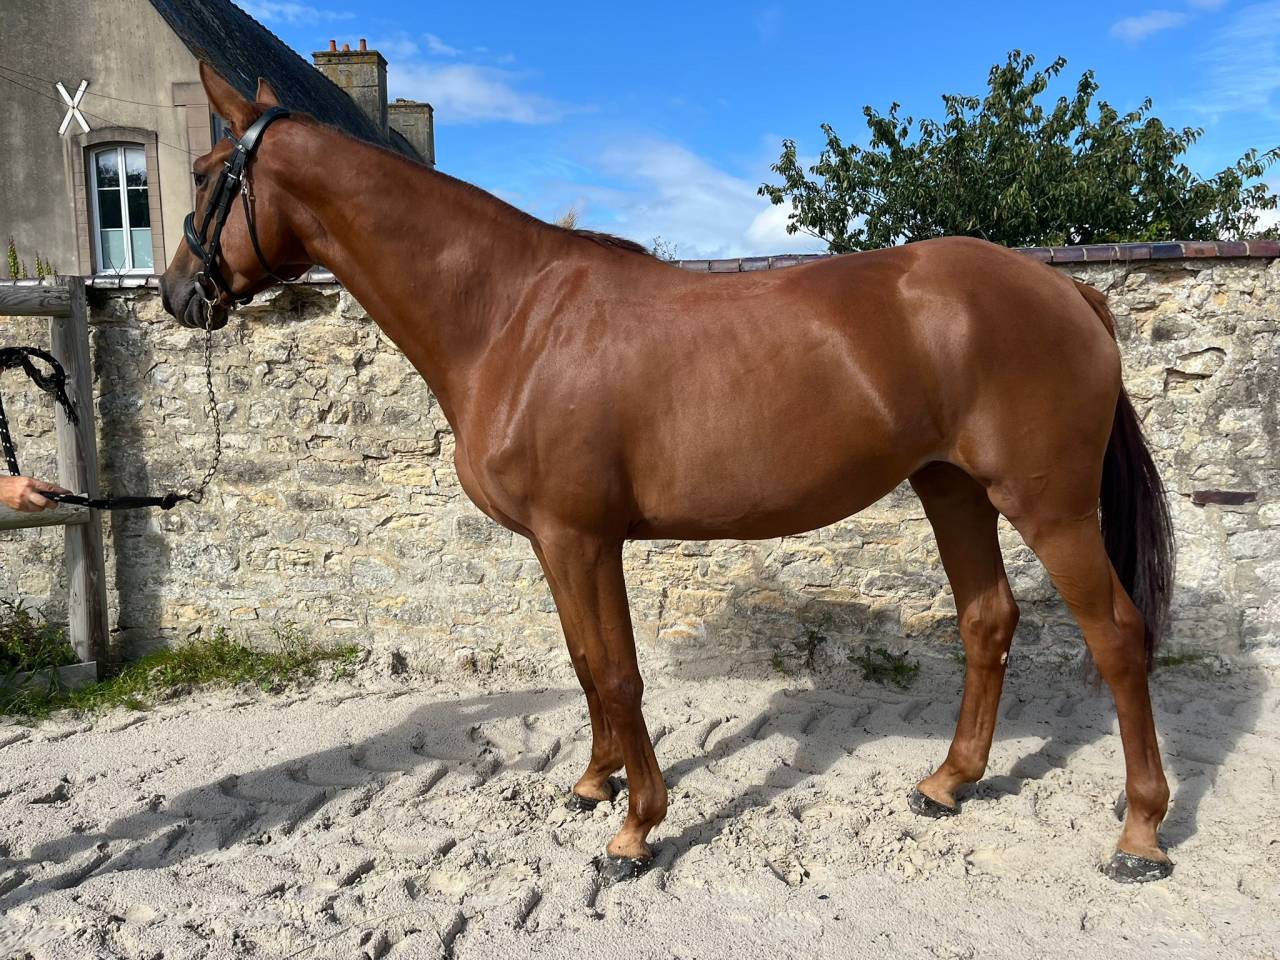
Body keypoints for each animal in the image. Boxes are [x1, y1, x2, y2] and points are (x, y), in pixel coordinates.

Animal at [160, 63, 1176, 885]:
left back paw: (1138, 834)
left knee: (1119, 637)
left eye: (209, 176)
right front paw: (592, 783)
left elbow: (618, 673)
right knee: (987, 620)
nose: (176, 293)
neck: (512, 318)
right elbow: (583, 664)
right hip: (952, 488)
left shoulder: (581, 537)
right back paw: (948, 782)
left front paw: (635, 831)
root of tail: (1067, 288)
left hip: (1047, 505)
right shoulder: (557, 543)